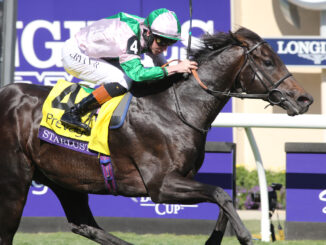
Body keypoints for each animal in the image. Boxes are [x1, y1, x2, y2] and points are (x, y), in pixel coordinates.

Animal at [0, 27, 312, 245]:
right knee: (9, 230)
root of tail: (8, 92)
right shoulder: (160, 185)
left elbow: (223, 198)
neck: (176, 108)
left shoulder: (184, 178)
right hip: (16, 180)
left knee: (83, 224)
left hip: (65, 179)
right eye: (268, 62)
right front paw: (246, 237)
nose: (305, 99)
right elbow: (220, 193)